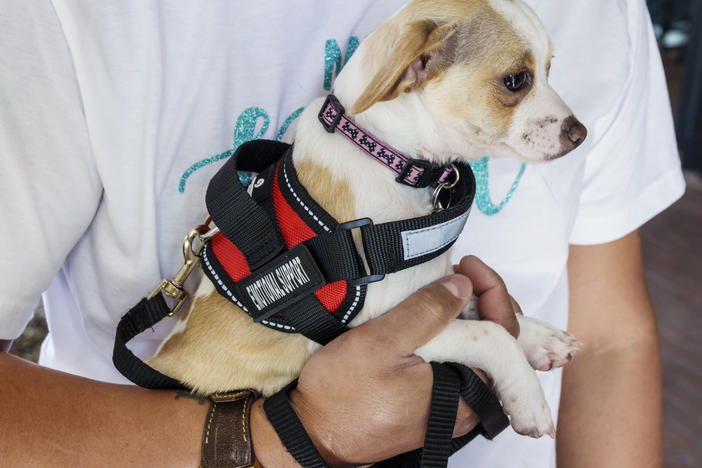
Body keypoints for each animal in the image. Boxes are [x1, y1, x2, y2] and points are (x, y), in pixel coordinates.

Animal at [150, 0, 588, 438]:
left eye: (549, 69)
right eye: (516, 80)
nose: (581, 134)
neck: (386, 156)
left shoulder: (431, 280)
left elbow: (480, 307)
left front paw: (537, 337)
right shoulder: (385, 325)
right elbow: (491, 333)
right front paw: (528, 397)